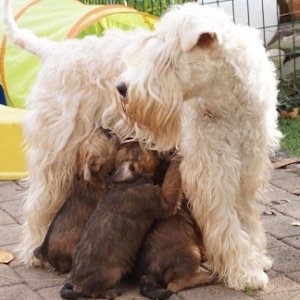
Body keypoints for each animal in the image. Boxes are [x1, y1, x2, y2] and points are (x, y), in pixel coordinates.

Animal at [59, 143, 180, 300]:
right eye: (144, 148)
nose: (156, 147)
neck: (128, 182)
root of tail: (77, 283)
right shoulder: (163, 201)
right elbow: (171, 179)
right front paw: (177, 157)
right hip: (112, 274)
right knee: (93, 292)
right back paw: (112, 292)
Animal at [114, 1, 282, 290]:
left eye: (167, 60)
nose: (122, 88)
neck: (230, 103)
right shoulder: (213, 173)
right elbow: (226, 222)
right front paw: (243, 271)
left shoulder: (246, 169)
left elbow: (246, 217)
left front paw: (256, 259)